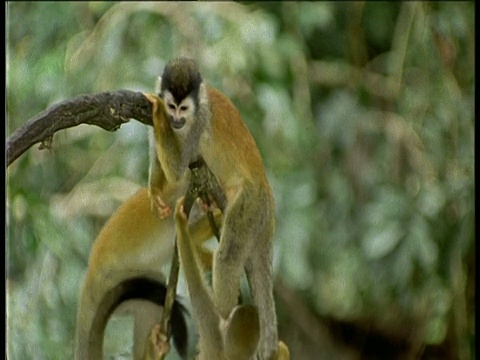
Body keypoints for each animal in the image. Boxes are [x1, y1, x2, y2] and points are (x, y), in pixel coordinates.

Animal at [146, 57, 286, 358]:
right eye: (173, 106)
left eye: (183, 109)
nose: (174, 120)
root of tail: (268, 197)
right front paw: (154, 189)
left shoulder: (197, 124)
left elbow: (177, 168)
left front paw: (159, 117)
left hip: (251, 205)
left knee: (227, 257)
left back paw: (222, 311)